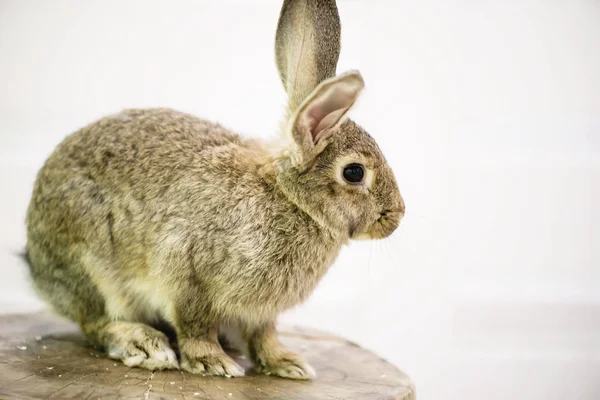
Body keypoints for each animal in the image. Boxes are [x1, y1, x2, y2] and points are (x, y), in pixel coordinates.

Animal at [25, 0, 406, 382]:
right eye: (354, 172)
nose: (397, 216)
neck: (287, 199)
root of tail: (35, 263)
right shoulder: (186, 271)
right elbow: (196, 326)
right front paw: (212, 362)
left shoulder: (261, 311)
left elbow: (264, 335)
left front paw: (285, 363)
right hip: (91, 268)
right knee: (95, 322)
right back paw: (145, 344)